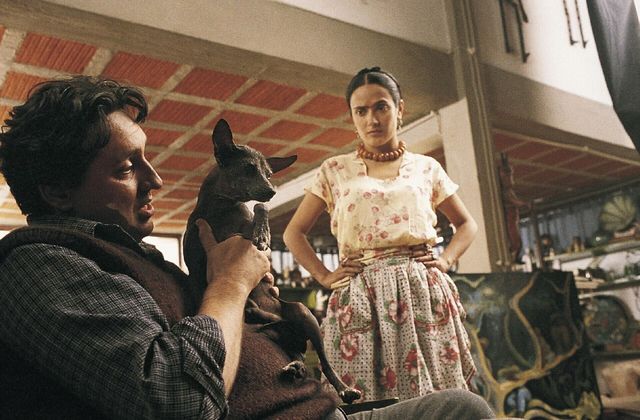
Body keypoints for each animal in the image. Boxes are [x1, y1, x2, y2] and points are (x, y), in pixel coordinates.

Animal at [183, 119, 361, 404]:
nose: (272, 191)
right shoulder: (194, 265)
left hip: (303, 314)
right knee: (294, 350)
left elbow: (259, 208)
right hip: (278, 333)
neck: (222, 210)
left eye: (269, 174)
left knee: (322, 362)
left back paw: (342, 387)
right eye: (248, 168)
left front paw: (263, 234)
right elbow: (197, 281)